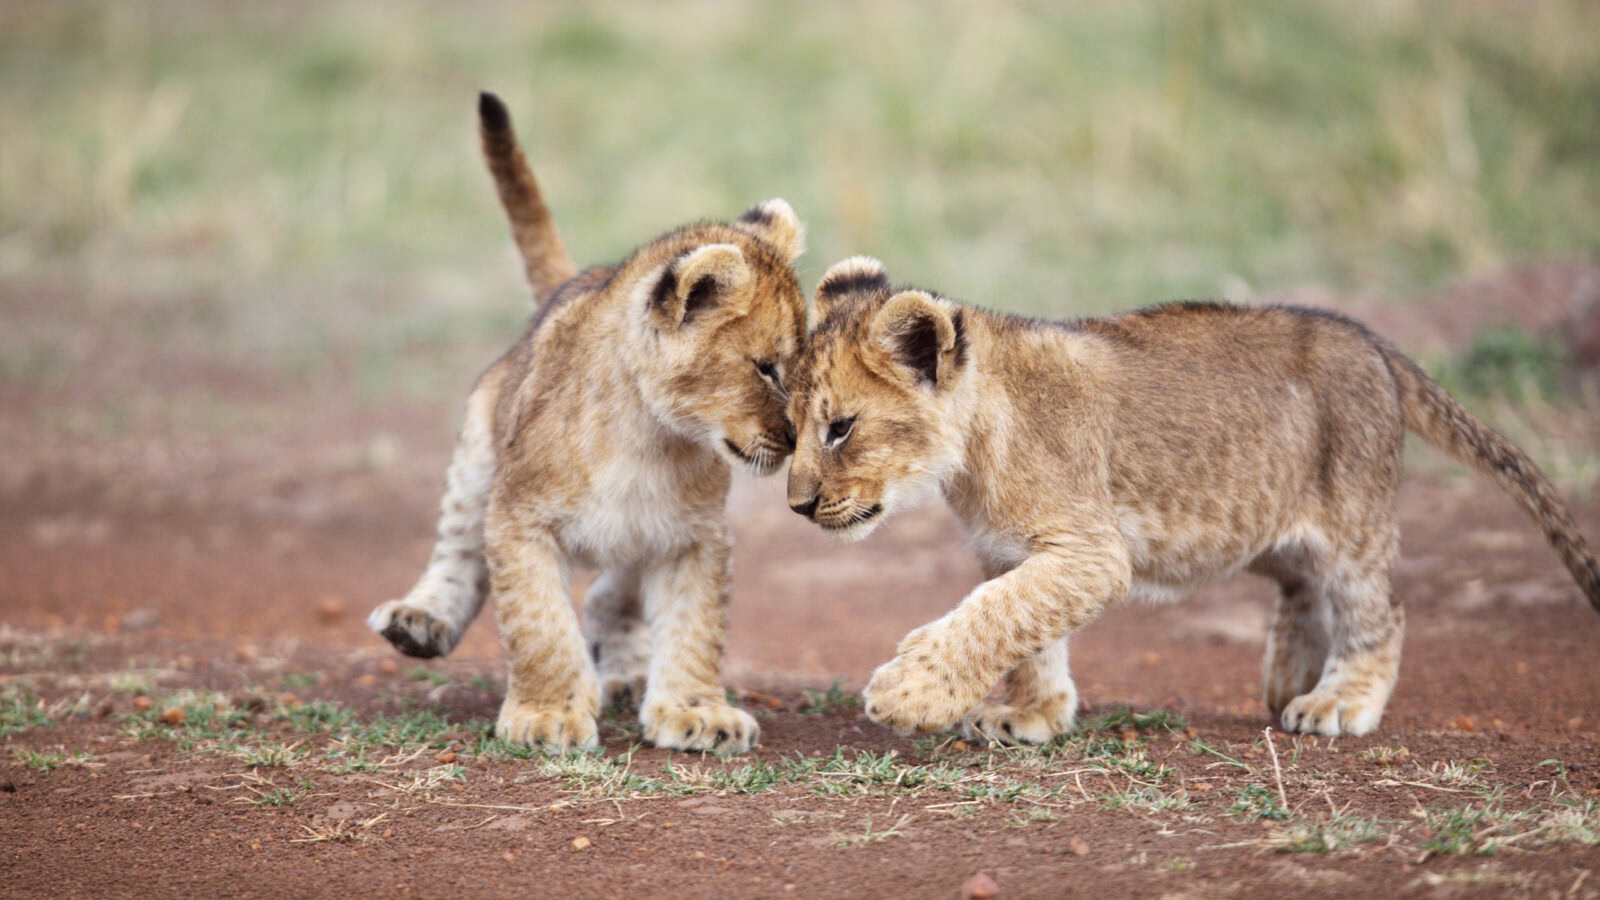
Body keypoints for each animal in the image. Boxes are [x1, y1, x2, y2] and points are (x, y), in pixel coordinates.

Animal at [366, 93, 807, 753]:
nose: (800, 438)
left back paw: (625, 669)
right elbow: (540, 626)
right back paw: (418, 622)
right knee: (458, 552)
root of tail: (569, 285)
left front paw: (696, 712)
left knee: (609, 593)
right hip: (478, 454)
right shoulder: (518, 519)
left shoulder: (696, 537)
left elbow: (696, 628)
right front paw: (546, 715)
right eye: (765, 368)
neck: (651, 438)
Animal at [785, 255, 1600, 740]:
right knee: (1302, 584)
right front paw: (1031, 714)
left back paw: (1336, 701)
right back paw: (1290, 675)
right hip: (1263, 527)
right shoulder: (1013, 552)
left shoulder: (1091, 552)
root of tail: (1368, 340)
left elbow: (993, 619)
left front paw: (908, 694)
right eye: (791, 426)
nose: (796, 505)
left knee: (1380, 611)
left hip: (1352, 521)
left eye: (840, 427)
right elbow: (1026, 633)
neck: (970, 453)